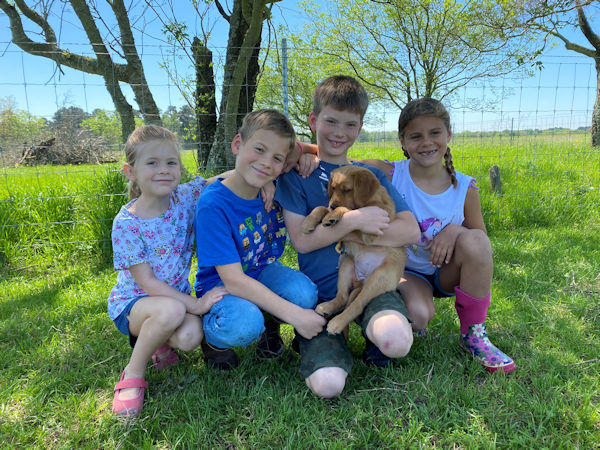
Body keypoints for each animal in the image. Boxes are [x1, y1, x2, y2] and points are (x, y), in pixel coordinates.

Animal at [300, 165, 408, 334]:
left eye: (347, 190)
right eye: (333, 188)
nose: (333, 206)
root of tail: (361, 281)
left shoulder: (376, 221)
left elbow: (353, 211)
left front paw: (334, 214)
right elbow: (321, 207)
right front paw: (309, 221)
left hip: (378, 278)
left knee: (357, 305)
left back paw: (337, 323)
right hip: (346, 263)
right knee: (343, 297)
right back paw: (327, 307)